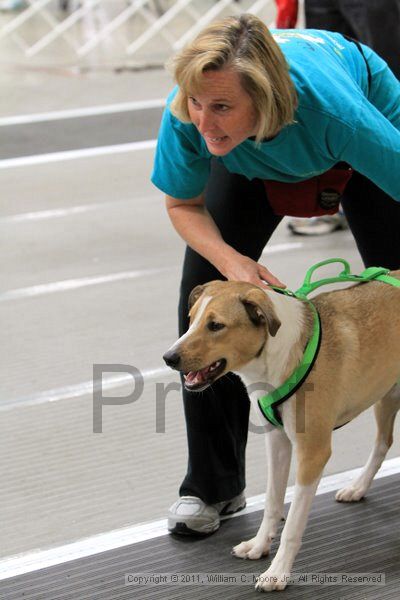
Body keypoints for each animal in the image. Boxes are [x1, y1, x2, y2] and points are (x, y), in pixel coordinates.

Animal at [162, 274, 400, 592]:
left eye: (215, 325)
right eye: (190, 320)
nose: (169, 357)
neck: (278, 356)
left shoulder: (312, 454)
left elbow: (293, 525)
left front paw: (278, 572)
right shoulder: (277, 442)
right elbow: (273, 503)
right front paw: (259, 545)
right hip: (387, 396)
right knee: (383, 442)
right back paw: (358, 487)